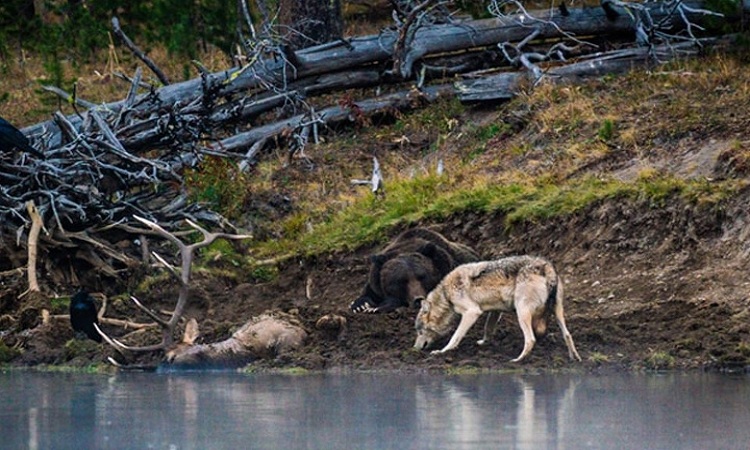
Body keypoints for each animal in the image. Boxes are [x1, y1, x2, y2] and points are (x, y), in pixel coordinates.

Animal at [418, 255, 580, 364]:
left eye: (419, 331)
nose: (416, 348)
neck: (446, 294)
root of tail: (547, 266)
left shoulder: (472, 312)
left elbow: (455, 336)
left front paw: (442, 352)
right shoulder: (495, 311)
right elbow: (488, 329)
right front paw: (484, 342)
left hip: (521, 312)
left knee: (530, 340)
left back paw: (517, 360)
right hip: (558, 312)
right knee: (568, 335)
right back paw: (575, 358)